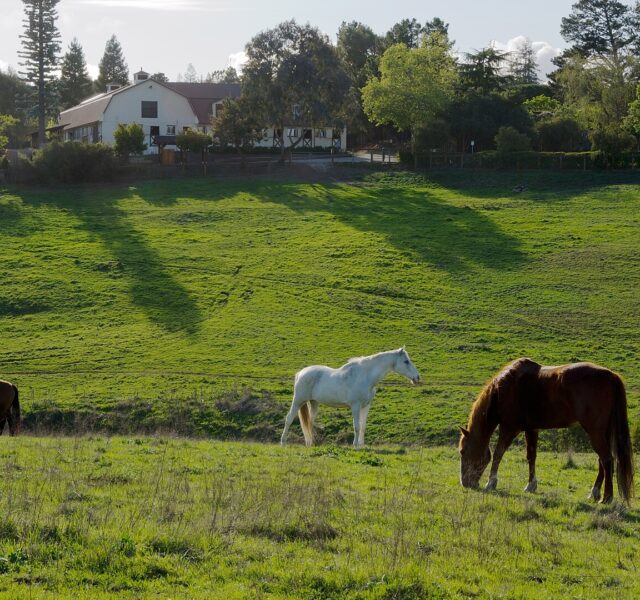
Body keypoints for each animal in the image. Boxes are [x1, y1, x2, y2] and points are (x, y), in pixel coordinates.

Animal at [280, 346, 420, 446]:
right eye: (406, 361)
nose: (417, 378)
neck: (365, 376)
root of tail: (300, 373)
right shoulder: (355, 406)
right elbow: (356, 426)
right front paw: (354, 445)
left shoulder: (366, 406)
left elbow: (363, 426)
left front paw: (361, 445)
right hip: (298, 401)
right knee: (289, 419)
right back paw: (283, 442)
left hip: (313, 403)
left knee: (309, 421)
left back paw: (310, 443)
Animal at [458, 358, 632, 504]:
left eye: (462, 451)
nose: (465, 483)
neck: (502, 390)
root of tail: (611, 376)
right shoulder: (531, 428)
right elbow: (531, 456)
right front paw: (531, 485)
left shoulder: (509, 428)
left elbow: (498, 454)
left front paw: (491, 482)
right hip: (603, 432)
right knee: (602, 460)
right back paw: (594, 493)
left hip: (595, 432)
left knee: (607, 459)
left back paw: (607, 497)